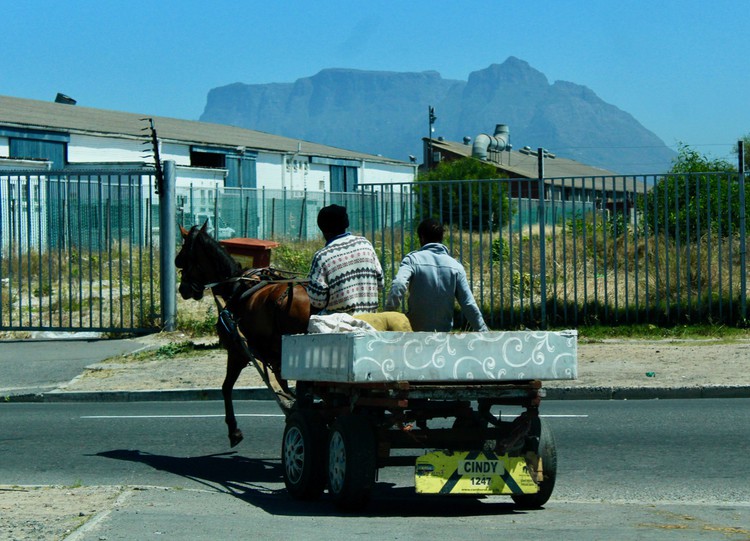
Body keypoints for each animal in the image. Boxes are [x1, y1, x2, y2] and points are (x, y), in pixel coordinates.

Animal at [175, 224, 310, 448]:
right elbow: (284, 388)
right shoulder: (274, 359)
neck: (235, 286)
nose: (183, 289)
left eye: (182, 257)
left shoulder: (237, 352)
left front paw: (234, 430)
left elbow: (226, 387)